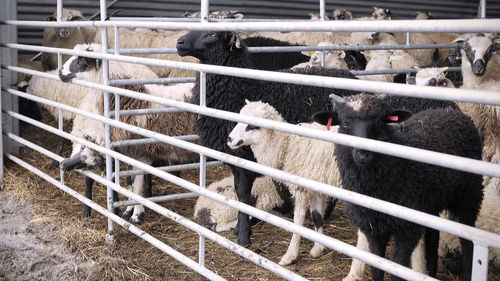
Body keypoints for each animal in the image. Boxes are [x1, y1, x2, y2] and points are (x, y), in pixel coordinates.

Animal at [58, 43, 199, 223]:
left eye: (82, 60)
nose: (60, 72)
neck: (127, 99)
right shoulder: (129, 153)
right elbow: (130, 183)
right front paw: (128, 210)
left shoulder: (143, 153)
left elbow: (137, 184)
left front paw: (137, 215)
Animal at [176, 30, 360, 245]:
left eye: (212, 34)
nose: (179, 42)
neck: (239, 89)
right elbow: (239, 193)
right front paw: (240, 229)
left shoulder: (245, 156)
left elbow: (243, 195)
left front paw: (243, 236)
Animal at [312, 93, 484, 278]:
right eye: (344, 122)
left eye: (380, 122)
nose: (364, 153)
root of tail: (451, 111)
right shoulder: (373, 229)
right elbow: (377, 268)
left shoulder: (407, 230)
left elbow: (397, 269)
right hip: (431, 203)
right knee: (433, 236)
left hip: (470, 196)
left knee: (468, 241)